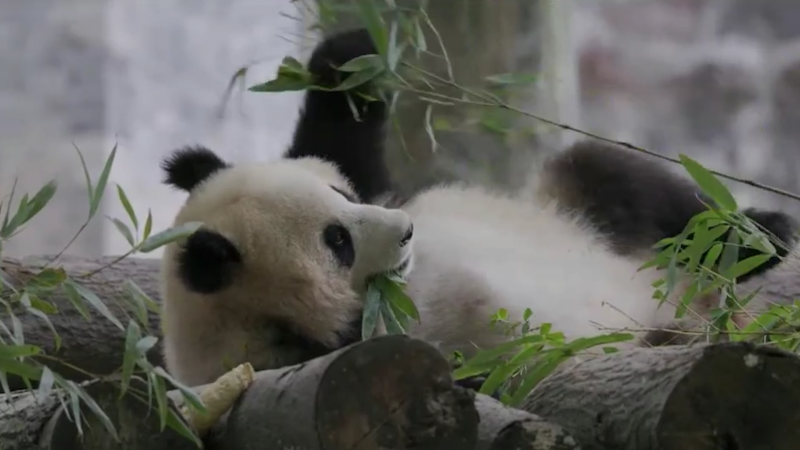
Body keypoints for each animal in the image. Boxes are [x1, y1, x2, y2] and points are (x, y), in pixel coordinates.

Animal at [159, 28, 796, 388]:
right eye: (336, 241)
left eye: (343, 199)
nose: (408, 230)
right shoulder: (323, 348)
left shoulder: (378, 186)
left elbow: (341, 141)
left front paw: (355, 51)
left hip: (578, 211)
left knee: (621, 181)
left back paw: (762, 235)